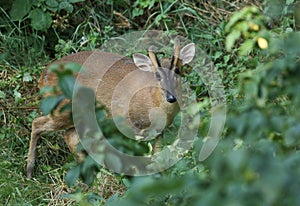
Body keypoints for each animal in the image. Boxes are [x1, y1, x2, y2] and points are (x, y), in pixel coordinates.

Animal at [27, 41, 196, 177]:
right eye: (157, 75)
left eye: (178, 70)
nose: (171, 97)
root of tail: (42, 76)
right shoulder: (127, 123)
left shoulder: (158, 132)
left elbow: (156, 155)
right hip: (63, 107)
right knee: (38, 123)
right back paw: (29, 171)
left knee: (71, 137)